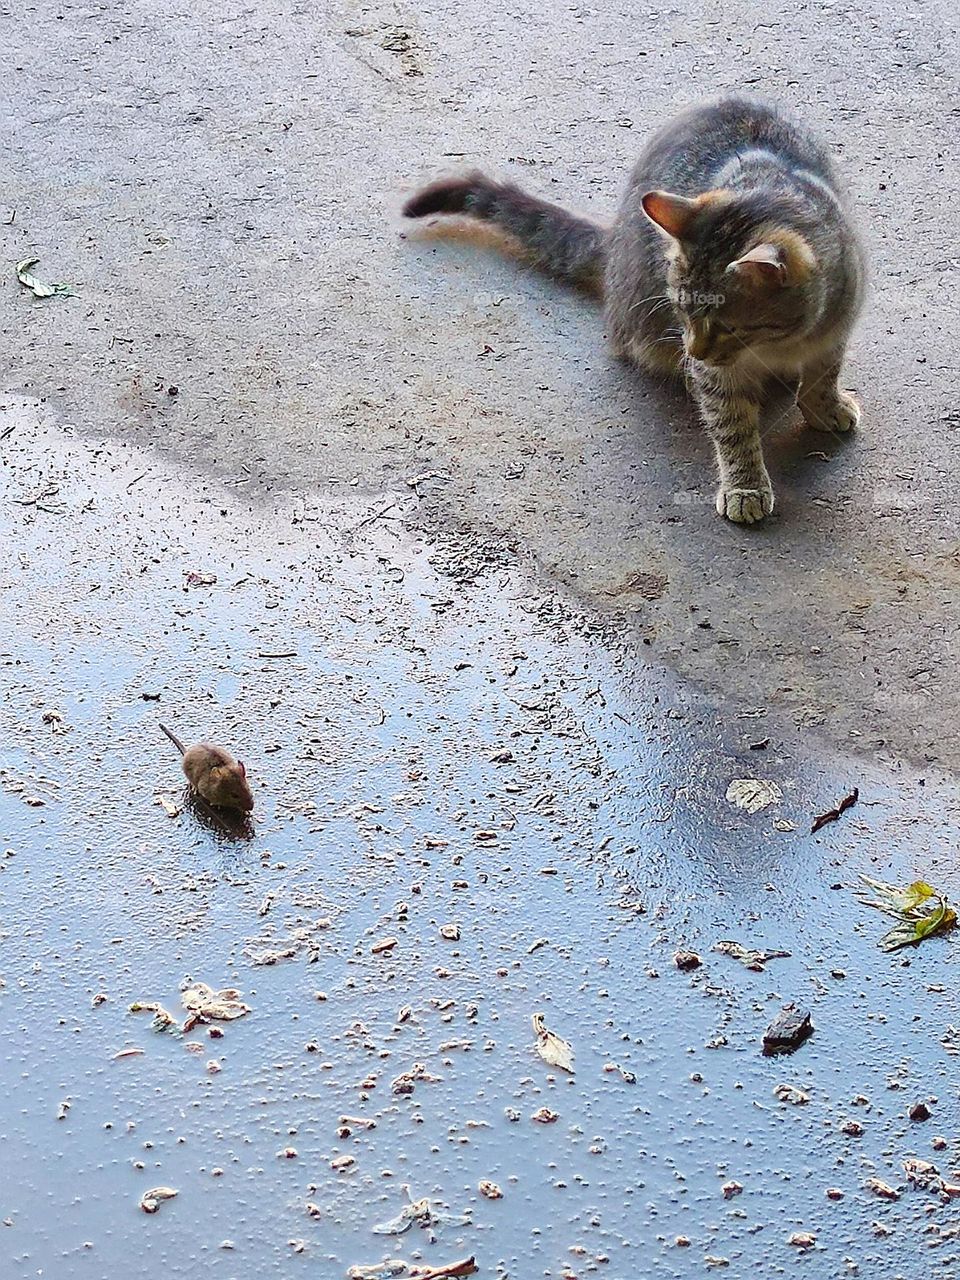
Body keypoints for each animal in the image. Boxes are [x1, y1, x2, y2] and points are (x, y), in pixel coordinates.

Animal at [401, 94, 870, 524]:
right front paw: (745, 485)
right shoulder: (716, 375)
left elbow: (823, 374)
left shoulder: (837, 328)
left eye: (727, 325)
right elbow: (732, 423)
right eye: (682, 311)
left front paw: (823, 405)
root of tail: (614, 245)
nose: (693, 351)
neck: (786, 340)